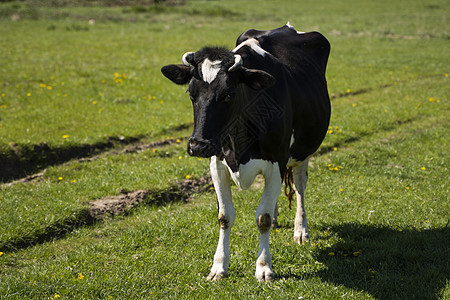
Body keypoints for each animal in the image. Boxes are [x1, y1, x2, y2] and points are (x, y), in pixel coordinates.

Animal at [162, 23, 330, 282]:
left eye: (228, 94)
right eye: (191, 94)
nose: (198, 145)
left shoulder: (277, 162)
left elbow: (263, 218)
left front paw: (264, 267)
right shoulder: (217, 163)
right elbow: (224, 217)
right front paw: (219, 266)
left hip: (303, 152)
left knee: (300, 186)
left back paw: (301, 230)